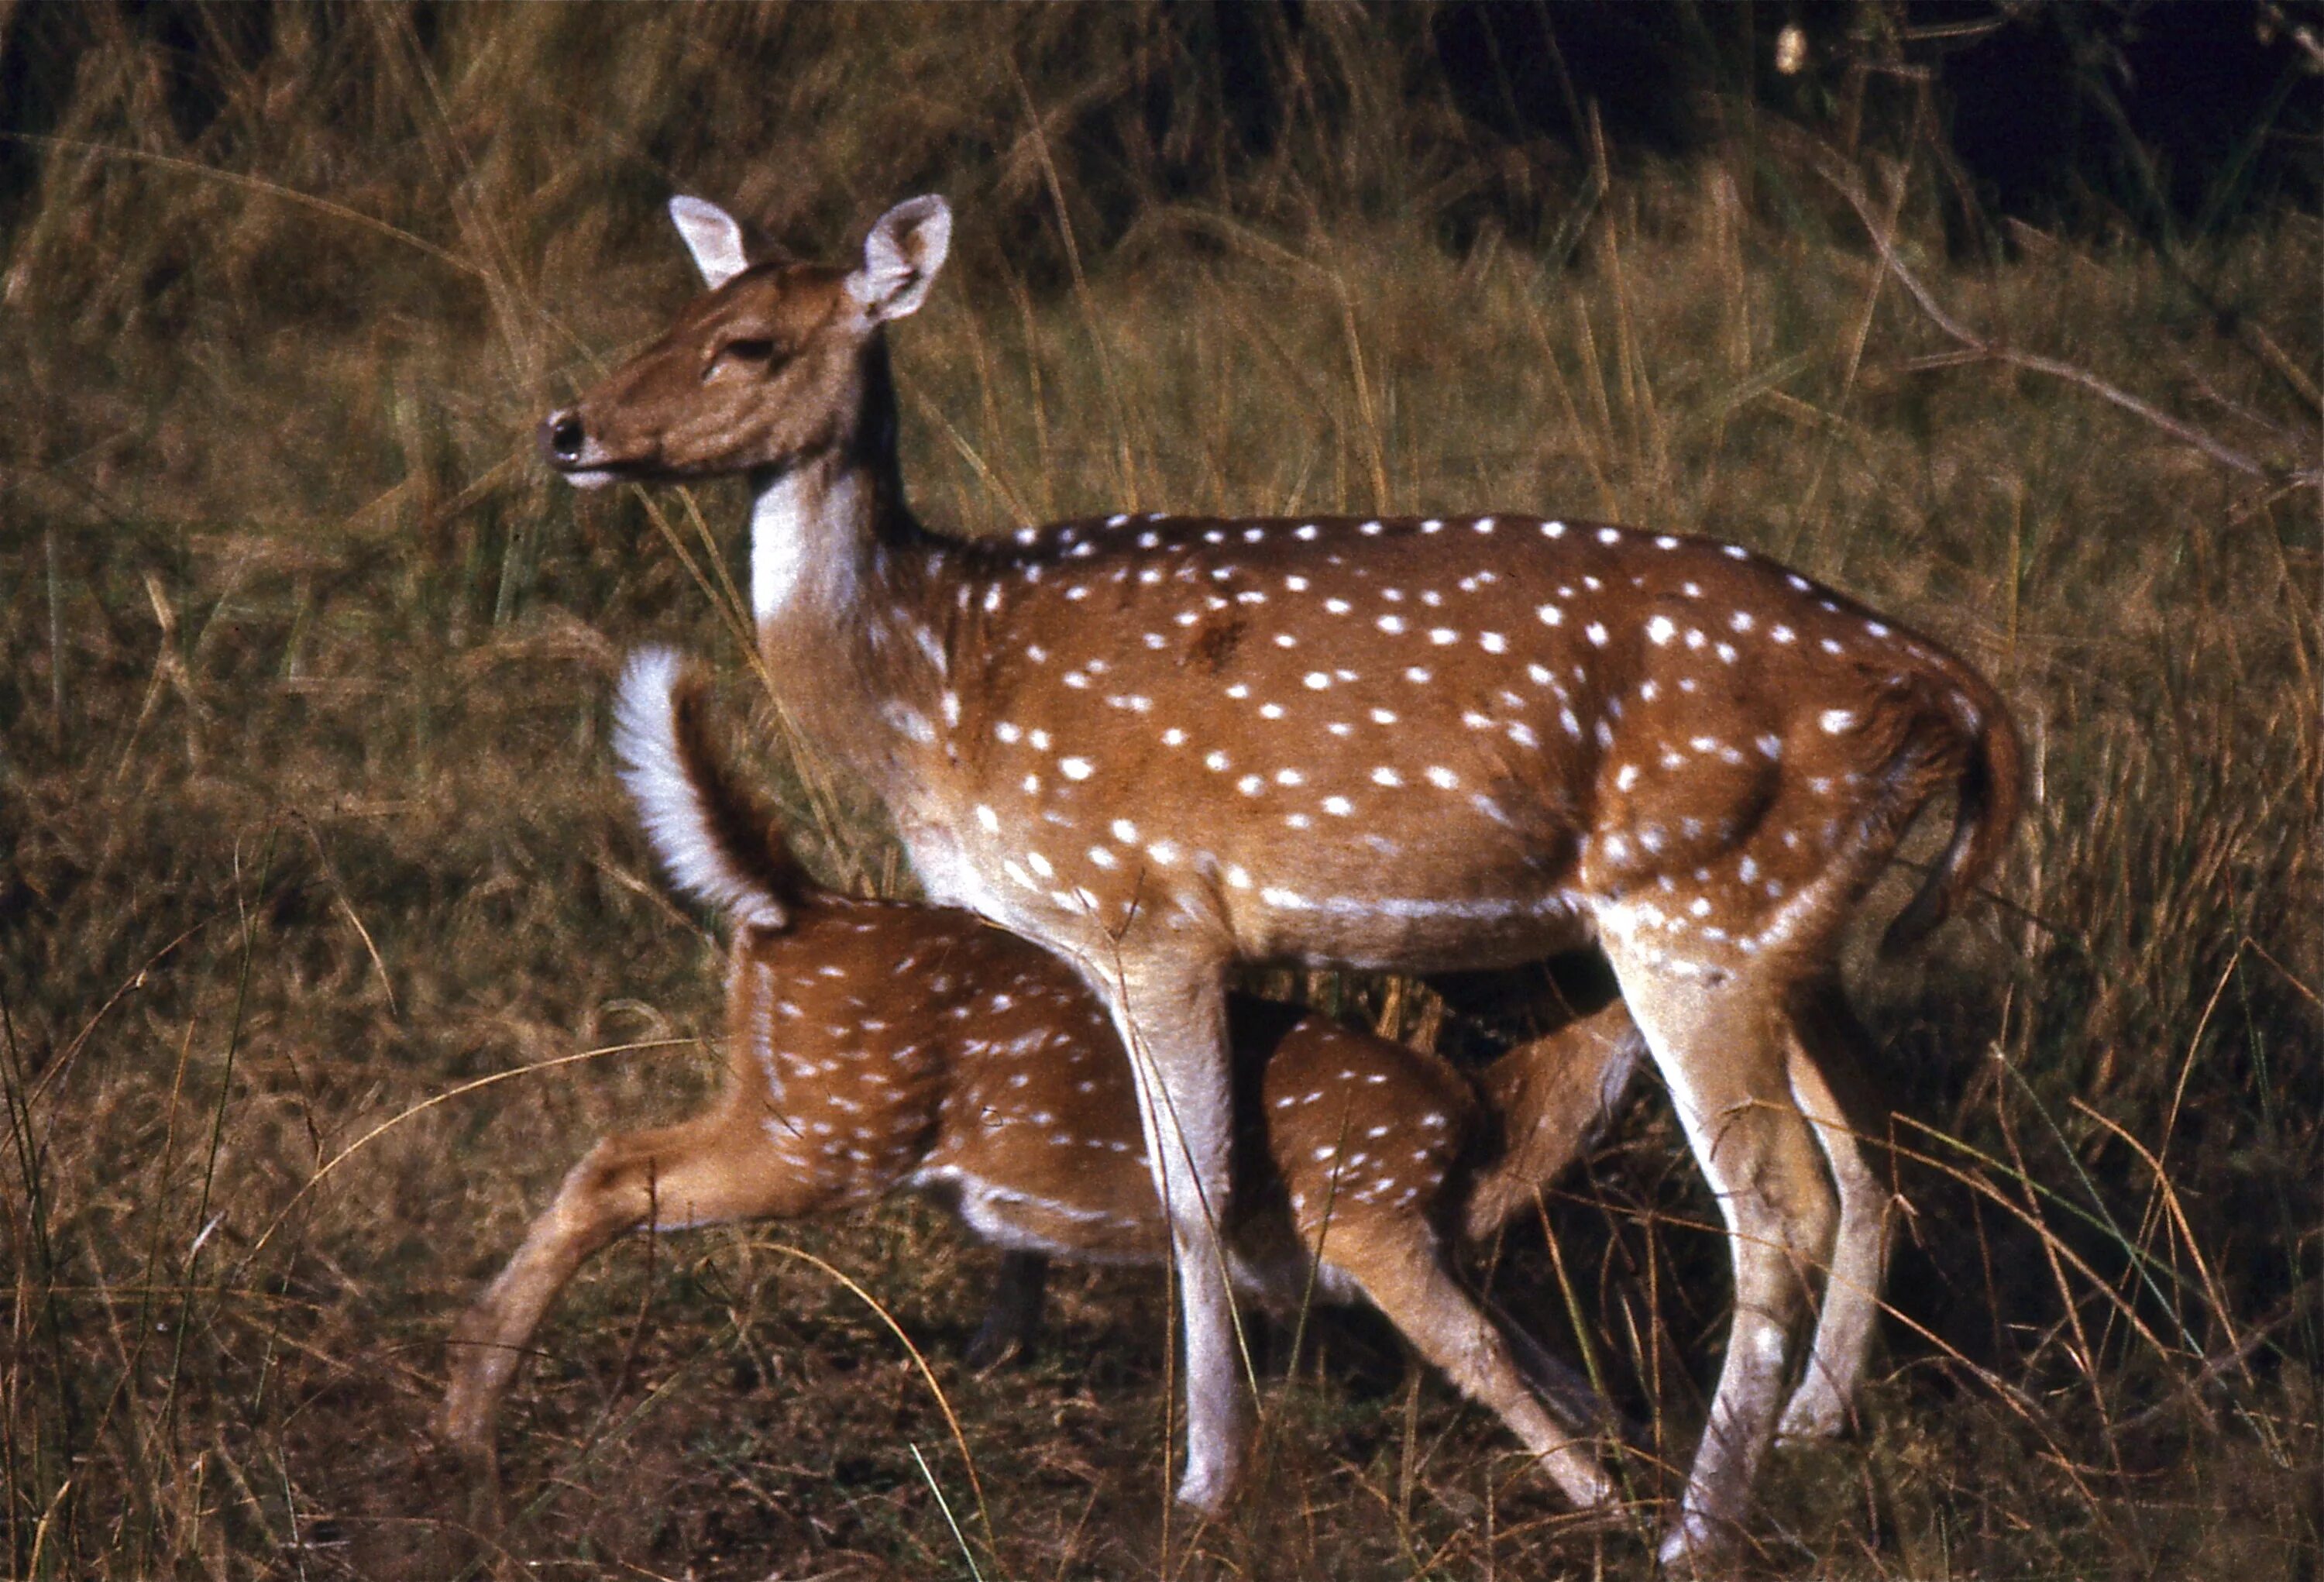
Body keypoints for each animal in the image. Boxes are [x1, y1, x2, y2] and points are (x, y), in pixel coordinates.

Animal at [539, 194, 2017, 1552]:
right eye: (672, 311)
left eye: (749, 343)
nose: (568, 429)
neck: (935, 685)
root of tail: (1947, 683)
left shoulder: (1148, 907)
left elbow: (1193, 1197)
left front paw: (1207, 1480)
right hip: (1793, 925)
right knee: (1874, 1144)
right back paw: (1817, 1425)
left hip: (1693, 900)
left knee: (1778, 1200)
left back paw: (1693, 1528)